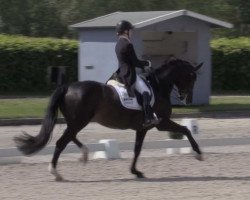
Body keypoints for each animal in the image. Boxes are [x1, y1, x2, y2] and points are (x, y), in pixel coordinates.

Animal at [14, 57, 203, 180]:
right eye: (192, 76)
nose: (186, 98)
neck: (158, 86)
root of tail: (67, 87)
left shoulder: (142, 128)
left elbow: (137, 149)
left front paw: (135, 172)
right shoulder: (161, 123)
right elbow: (186, 129)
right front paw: (198, 153)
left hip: (75, 121)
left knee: (70, 136)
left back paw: (84, 154)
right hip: (79, 121)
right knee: (62, 142)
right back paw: (56, 172)